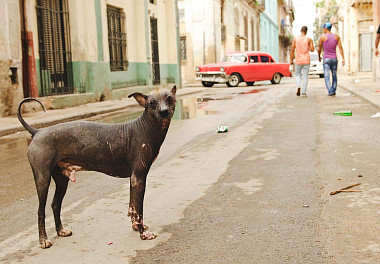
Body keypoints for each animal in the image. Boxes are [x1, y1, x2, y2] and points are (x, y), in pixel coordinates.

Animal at [17, 85, 177, 249]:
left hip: (62, 180)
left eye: (169, 98)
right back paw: (43, 239)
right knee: (40, 211)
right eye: (151, 102)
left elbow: (132, 207)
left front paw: (136, 227)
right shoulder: (138, 178)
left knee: (55, 204)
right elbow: (139, 211)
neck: (145, 128)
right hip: (42, 180)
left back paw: (61, 230)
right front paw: (143, 233)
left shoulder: (134, 180)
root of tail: (37, 131)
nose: (164, 111)